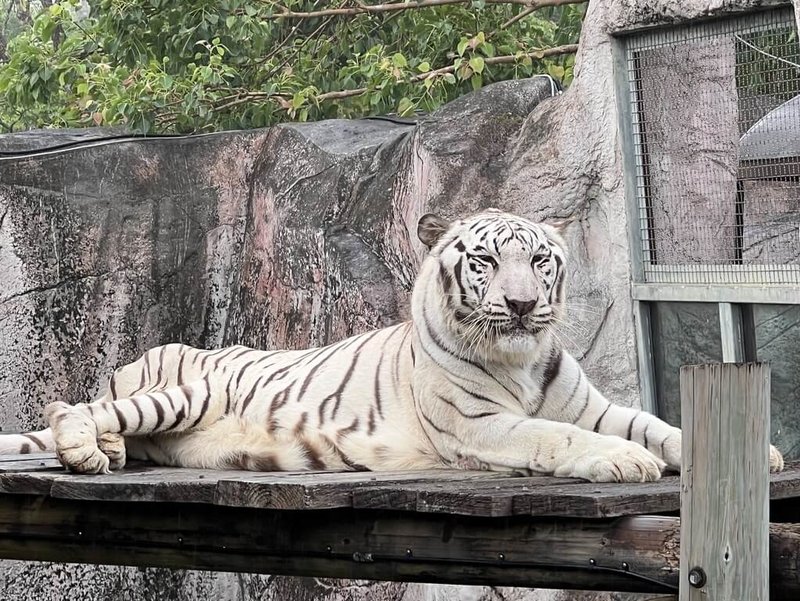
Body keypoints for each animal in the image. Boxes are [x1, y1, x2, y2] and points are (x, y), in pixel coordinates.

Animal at [0, 209, 788, 480]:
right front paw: (625, 462)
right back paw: (89, 449)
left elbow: (655, 422)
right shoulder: (480, 425)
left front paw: (764, 453)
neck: (520, 360)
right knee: (72, 408)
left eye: (539, 260)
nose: (522, 304)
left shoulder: (590, 404)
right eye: (485, 262)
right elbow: (556, 438)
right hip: (183, 388)